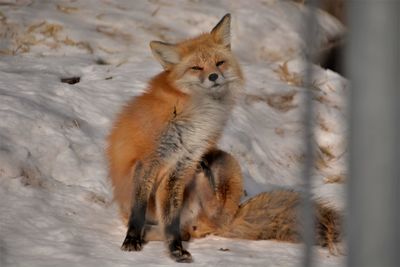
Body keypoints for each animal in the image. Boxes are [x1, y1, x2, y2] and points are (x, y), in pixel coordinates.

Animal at [106, 13, 340, 262]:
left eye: (219, 63)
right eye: (196, 67)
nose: (213, 76)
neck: (195, 113)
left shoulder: (181, 165)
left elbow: (170, 220)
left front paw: (175, 249)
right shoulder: (149, 161)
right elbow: (139, 212)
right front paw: (132, 240)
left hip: (226, 161)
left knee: (201, 223)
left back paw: (204, 180)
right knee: (188, 228)